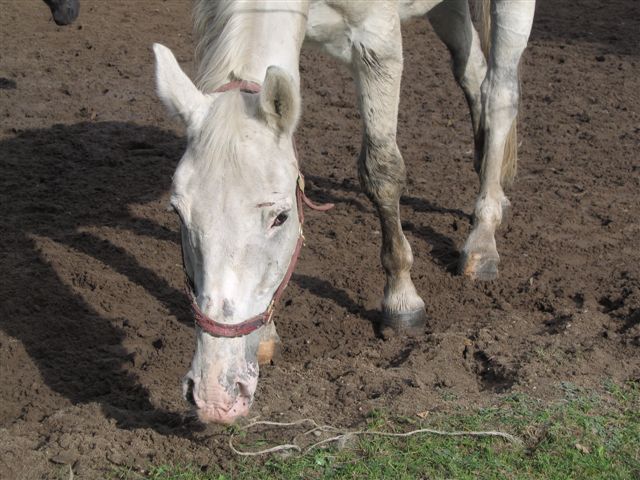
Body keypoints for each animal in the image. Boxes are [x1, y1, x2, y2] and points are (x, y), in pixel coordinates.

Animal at [154, 0, 536, 424]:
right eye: (178, 212)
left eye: (281, 217)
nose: (213, 395)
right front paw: (266, 334)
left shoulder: (377, 42)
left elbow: (381, 170)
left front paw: (401, 299)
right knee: (473, 74)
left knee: (499, 92)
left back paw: (483, 238)